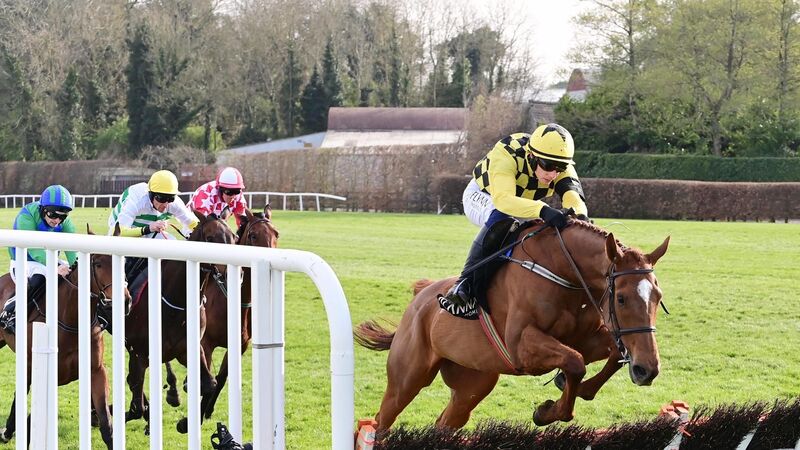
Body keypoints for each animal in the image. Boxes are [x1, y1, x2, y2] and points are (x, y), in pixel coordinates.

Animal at [0, 228, 131, 449]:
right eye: (97, 263)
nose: (123, 302)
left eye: (123, 262)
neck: (71, 320)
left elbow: (106, 425)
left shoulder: (96, 371)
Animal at [116, 211, 237, 432]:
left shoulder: (189, 348)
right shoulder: (139, 352)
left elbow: (210, 384)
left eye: (233, 236)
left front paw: (185, 423)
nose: (233, 274)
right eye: (210, 238)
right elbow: (136, 396)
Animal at [171, 207, 279, 432]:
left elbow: (220, 379)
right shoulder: (205, 343)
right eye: (253, 235)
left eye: (277, 234)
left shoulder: (238, 346)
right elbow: (204, 378)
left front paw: (206, 411)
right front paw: (188, 421)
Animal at [354, 219, 670, 431]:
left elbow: (609, 354)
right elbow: (575, 362)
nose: (647, 370)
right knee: (381, 420)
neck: (563, 272)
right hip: (407, 378)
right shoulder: (522, 347)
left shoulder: (590, 337)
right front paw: (547, 411)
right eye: (621, 298)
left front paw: (576, 389)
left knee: (445, 421)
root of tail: (420, 297)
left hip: (472, 384)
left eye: (658, 296)